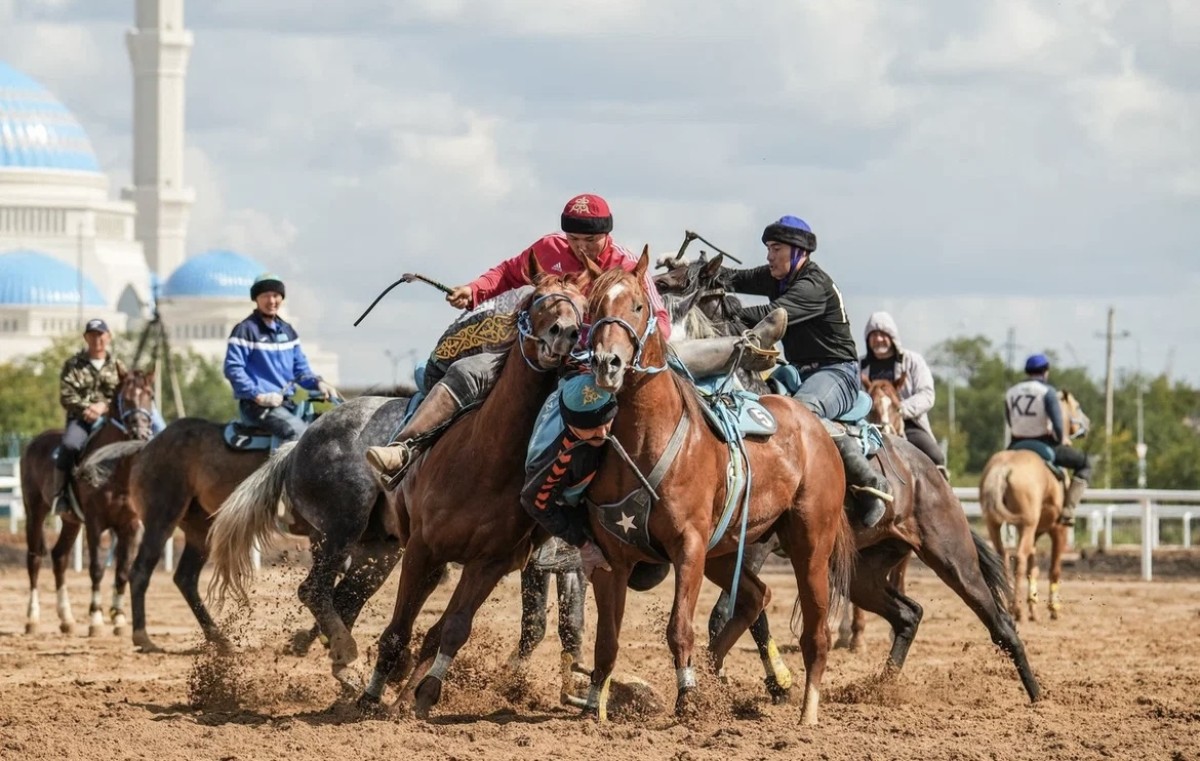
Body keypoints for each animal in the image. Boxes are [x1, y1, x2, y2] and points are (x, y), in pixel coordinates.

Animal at [19, 367, 157, 633]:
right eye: (125, 398)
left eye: (150, 395)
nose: (141, 432)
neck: (115, 469)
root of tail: (33, 443)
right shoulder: (95, 523)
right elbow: (97, 568)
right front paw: (96, 618)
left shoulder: (131, 526)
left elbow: (123, 571)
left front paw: (119, 618)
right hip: (34, 512)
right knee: (34, 558)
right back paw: (32, 619)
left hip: (71, 522)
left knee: (59, 557)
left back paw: (67, 619)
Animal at [350, 264, 590, 715]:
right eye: (538, 298)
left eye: (584, 310)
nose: (565, 332)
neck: (486, 461)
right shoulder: (422, 548)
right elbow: (397, 630)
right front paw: (370, 696)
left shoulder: (490, 563)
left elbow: (455, 629)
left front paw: (426, 695)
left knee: (436, 631)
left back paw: (407, 696)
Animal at [583, 250, 854, 724]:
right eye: (596, 307)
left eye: (637, 305)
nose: (607, 363)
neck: (648, 437)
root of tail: (816, 427)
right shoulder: (612, 557)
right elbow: (606, 639)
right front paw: (595, 707)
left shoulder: (688, 547)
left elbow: (678, 628)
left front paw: (688, 698)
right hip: (727, 552)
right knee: (755, 597)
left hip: (809, 546)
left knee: (816, 633)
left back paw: (807, 712)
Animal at [657, 252, 1041, 700]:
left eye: (675, 282)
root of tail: (930, 473)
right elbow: (745, 615)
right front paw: (768, 682)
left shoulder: (753, 548)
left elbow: (729, 613)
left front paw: (760, 682)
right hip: (865, 573)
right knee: (909, 613)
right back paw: (882, 687)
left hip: (952, 556)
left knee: (999, 622)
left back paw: (1036, 697)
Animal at [979, 391, 1094, 624]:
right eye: (1077, 406)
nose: (1087, 424)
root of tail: (1004, 467)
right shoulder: (1057, 531)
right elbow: (1053, 569)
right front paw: (1053, 608)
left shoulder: (1033, 533)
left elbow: (1034, 569)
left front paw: (1033, 607)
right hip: (1028, 525)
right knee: (1020, 559)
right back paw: (1017, 610)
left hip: (995, 523)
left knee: (1003, 558)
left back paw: (1008, 605)